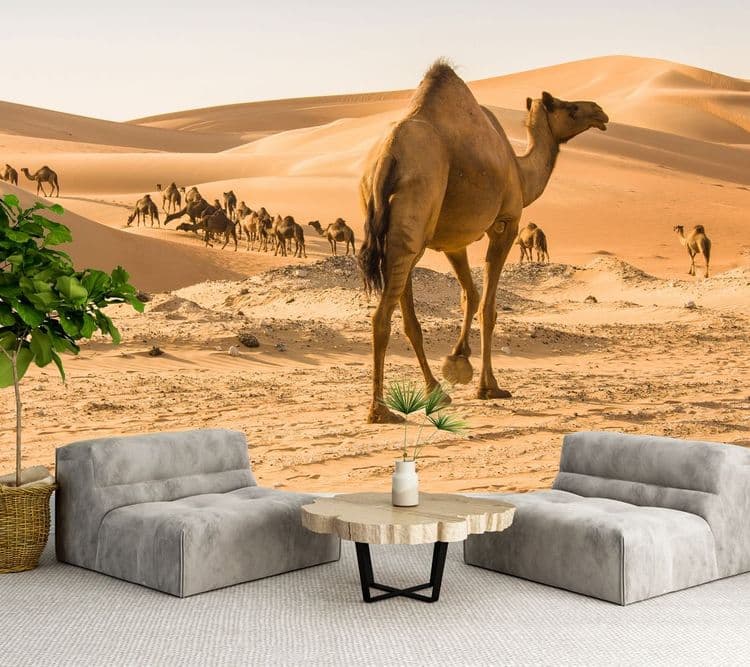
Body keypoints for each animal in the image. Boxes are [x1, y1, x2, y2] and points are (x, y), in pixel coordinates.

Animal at [358, 61, 608, 423]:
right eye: (570, 107)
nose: (600, 112)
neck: (520, 171)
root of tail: (387, 158)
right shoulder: (506, 224)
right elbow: (488, 307)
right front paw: (489, 386)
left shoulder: (453, 241)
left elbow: (470, 296)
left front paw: (458, 360)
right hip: (414, 218)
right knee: (382, 316)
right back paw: (380, 410)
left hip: (401, 234)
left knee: (406, 316)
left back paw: (436, 391)